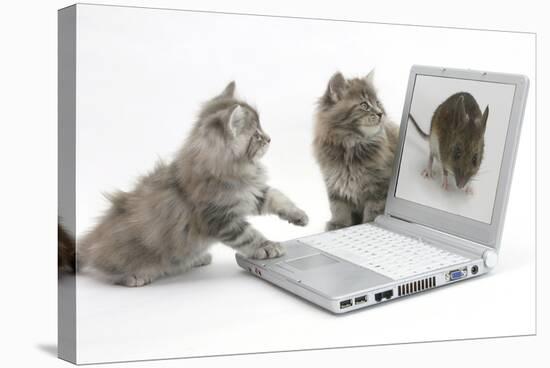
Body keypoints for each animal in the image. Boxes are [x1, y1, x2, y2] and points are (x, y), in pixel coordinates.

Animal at [78, 82, 310, 286]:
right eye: (257, 135)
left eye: (262, 131)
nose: (269, 138)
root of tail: (89, 243)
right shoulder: (220, 217)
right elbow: (248, 236)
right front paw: (268, 246)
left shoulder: (251, 195)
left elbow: (277, 196)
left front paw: (298, 215)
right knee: (105, 272)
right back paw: (135, 277)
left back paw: (197, 259)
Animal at [314, 70, 402, 229]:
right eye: (364, 105)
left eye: (378, 103)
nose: (380, 113)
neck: (351, 145)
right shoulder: (334, 184)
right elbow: (338, 209)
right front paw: (338, 225)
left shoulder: (379, 188)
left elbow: (373, 211)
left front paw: (368, 223)